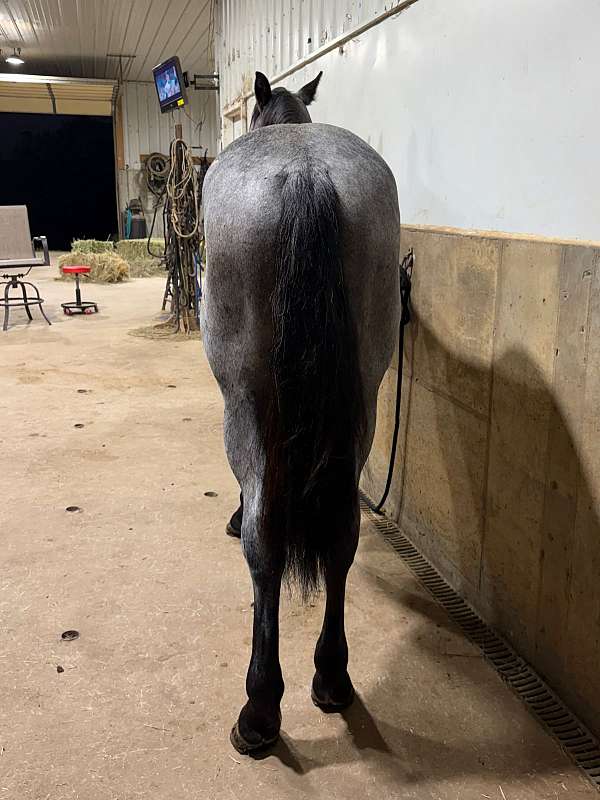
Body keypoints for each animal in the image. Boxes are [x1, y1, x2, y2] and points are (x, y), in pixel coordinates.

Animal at [201, 70, 400, 754]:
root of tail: (307, 176)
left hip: (248, 403)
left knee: (265, 541)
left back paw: (259, 710)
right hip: (363, 401)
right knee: (342, 533)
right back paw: (332, 676)